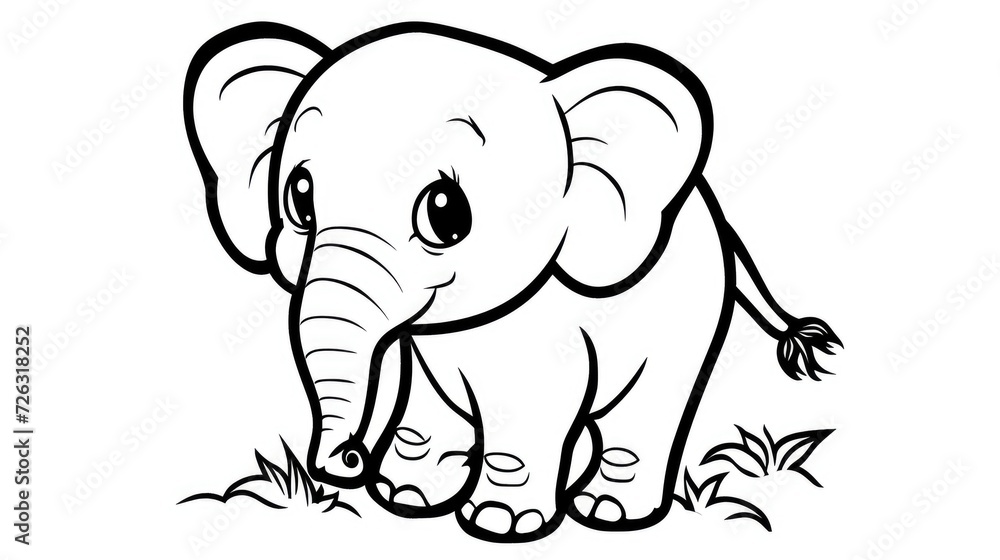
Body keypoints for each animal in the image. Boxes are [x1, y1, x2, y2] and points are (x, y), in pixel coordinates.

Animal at [183, 21, 841, 542]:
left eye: (445, 212)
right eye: (299, 198)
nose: (345, 461)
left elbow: (535, 405)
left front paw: (500, 523)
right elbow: (424, 395)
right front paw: (405, 496)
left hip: (692, 315)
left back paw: (610, 510)